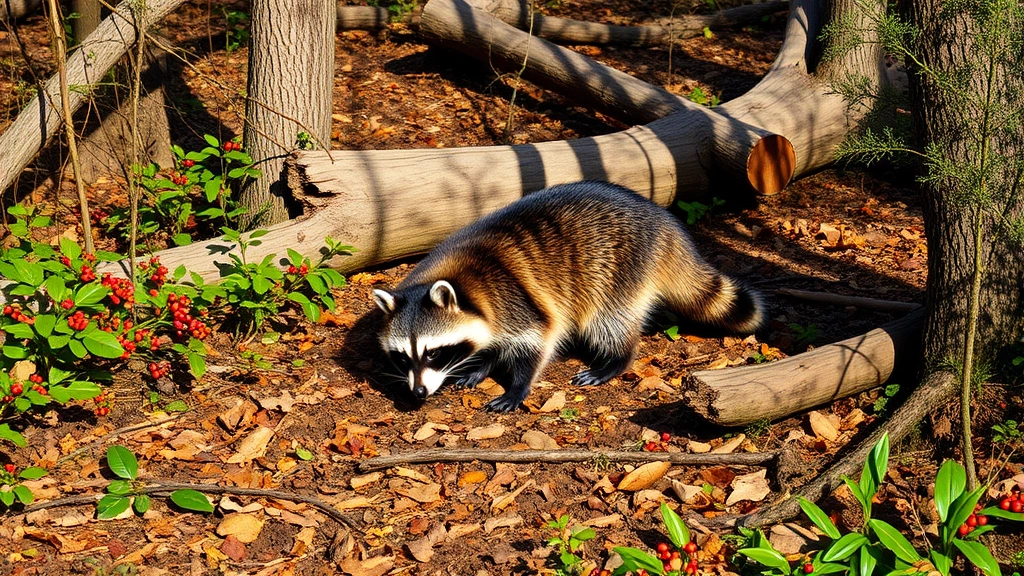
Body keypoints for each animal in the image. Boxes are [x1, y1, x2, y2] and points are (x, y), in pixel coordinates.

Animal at [372, 181, 764, 412]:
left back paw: (616, 359)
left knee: (608, 320)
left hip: (620, 265)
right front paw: (481, 364)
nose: (418, 393)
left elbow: (536, 342)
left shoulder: (515, 301)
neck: (461, 280)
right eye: (403, 357)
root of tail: (664, 220)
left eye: (433, 353)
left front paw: (516, 384)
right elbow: (493, 344)